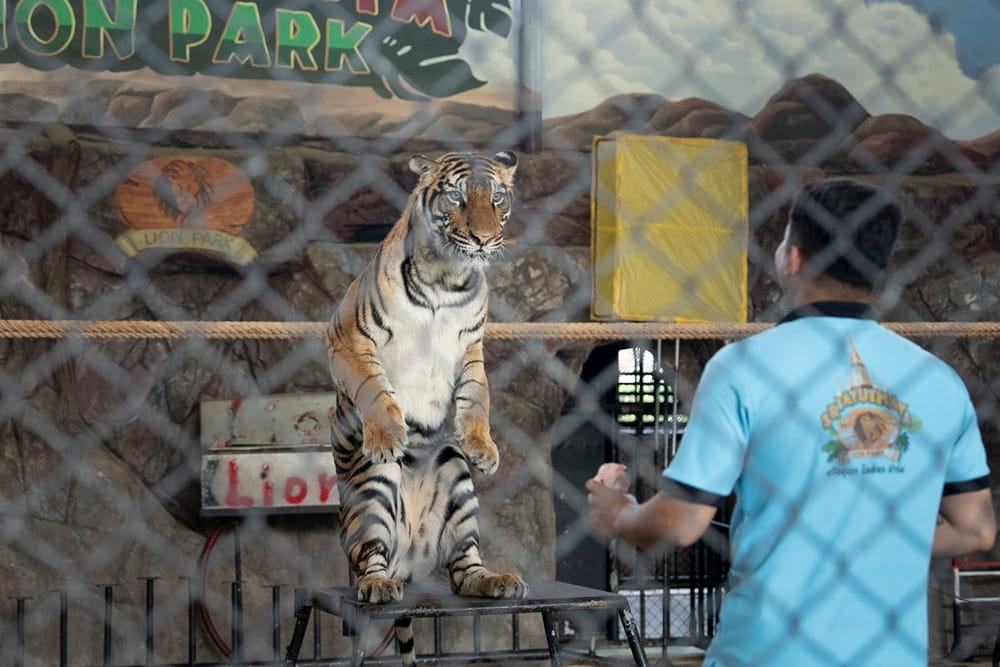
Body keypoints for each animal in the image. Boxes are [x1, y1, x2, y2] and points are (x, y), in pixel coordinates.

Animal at [325, 150, 527, 663]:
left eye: (497, 199)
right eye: (456, 197)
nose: (483, 238)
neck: (446, 279)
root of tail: (408, 565)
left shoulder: (471, 346)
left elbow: (477, 397)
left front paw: (484, 447)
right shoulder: (348, 336)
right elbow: (374, 388)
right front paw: (387, 434)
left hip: (457, 485)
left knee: (462, 571)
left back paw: (497, 580)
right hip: (373, 496)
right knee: (369, 557)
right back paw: (378, 585)